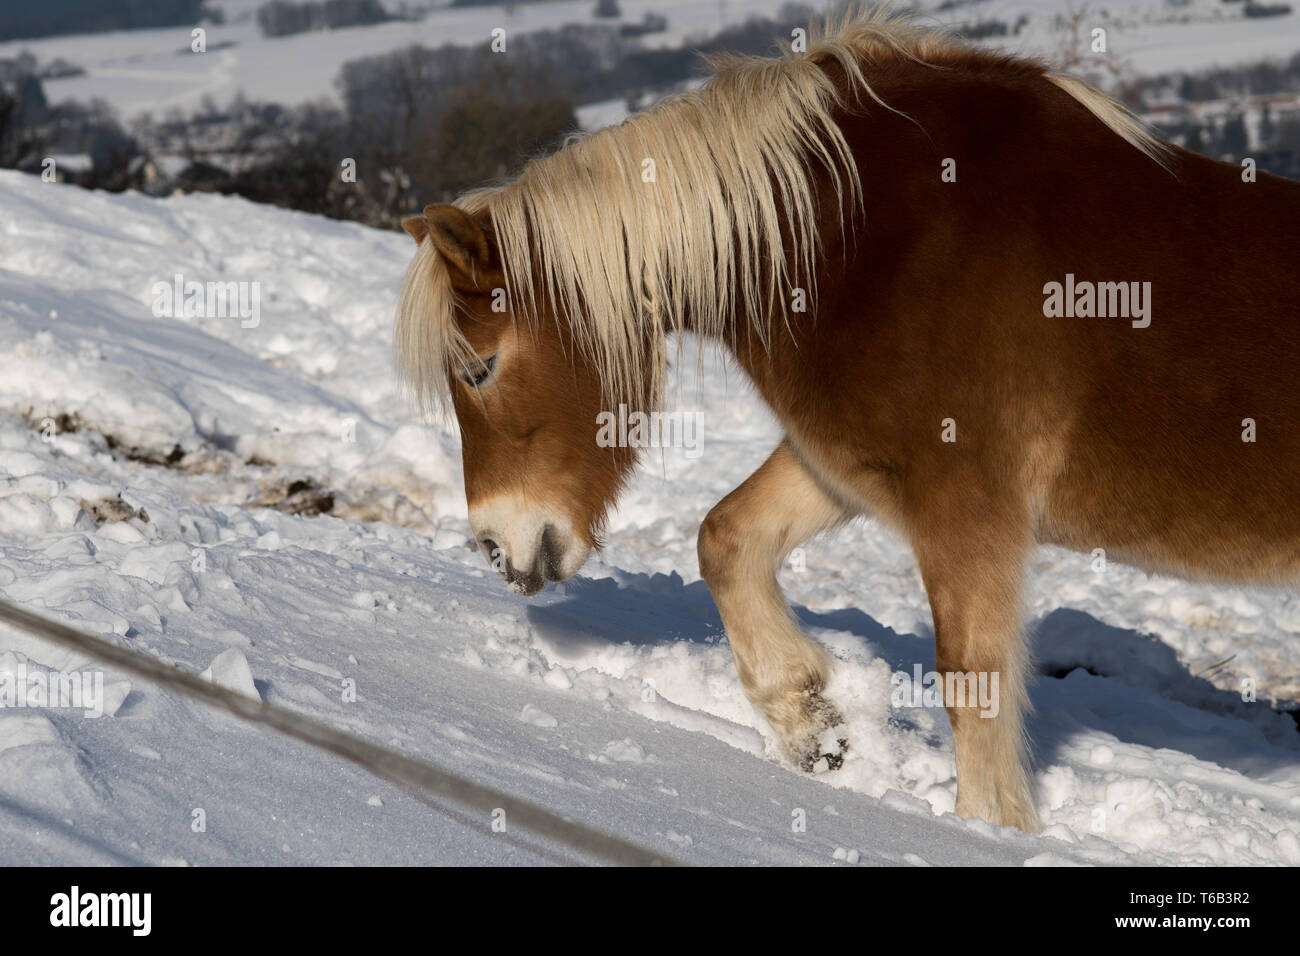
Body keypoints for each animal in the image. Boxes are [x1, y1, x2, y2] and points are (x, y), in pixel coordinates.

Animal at [394, 7, 1300, 833]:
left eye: (479, 368)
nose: (496, 548)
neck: (863, 240)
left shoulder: (967, 509)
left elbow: (972, 684)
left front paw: (986, 831)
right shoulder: (845, 465)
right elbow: (724, 540)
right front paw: (815, 727)